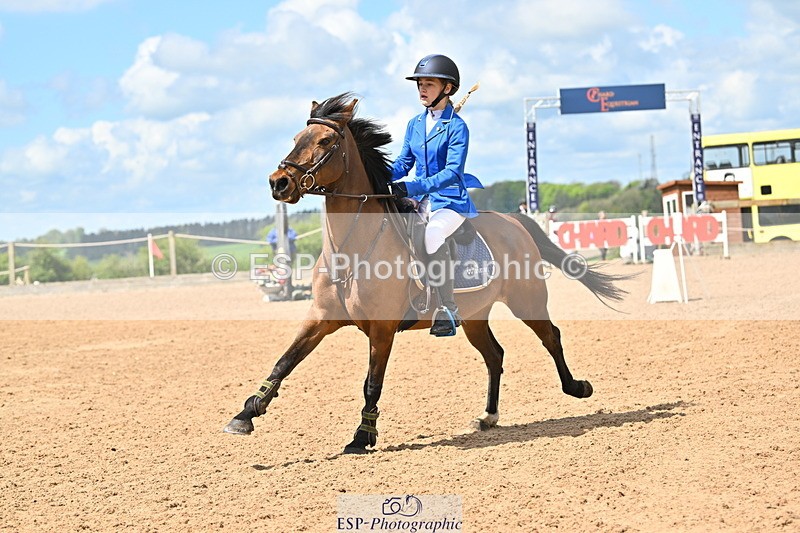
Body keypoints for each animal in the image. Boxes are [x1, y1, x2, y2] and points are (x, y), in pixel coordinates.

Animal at [223, 92, 628, 453]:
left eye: (324, 141)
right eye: (296, 139)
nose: (279, 182)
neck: (351, 252)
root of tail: (514, 221)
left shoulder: (382, 329)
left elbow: (372, 383)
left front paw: (362, 436)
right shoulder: (320, 318)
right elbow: (283, 362)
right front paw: (245, 414)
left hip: (526, 300)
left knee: (551, 337)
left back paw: (577, 387)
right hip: (475, 315)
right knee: (494, 354)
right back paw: (488, 416)